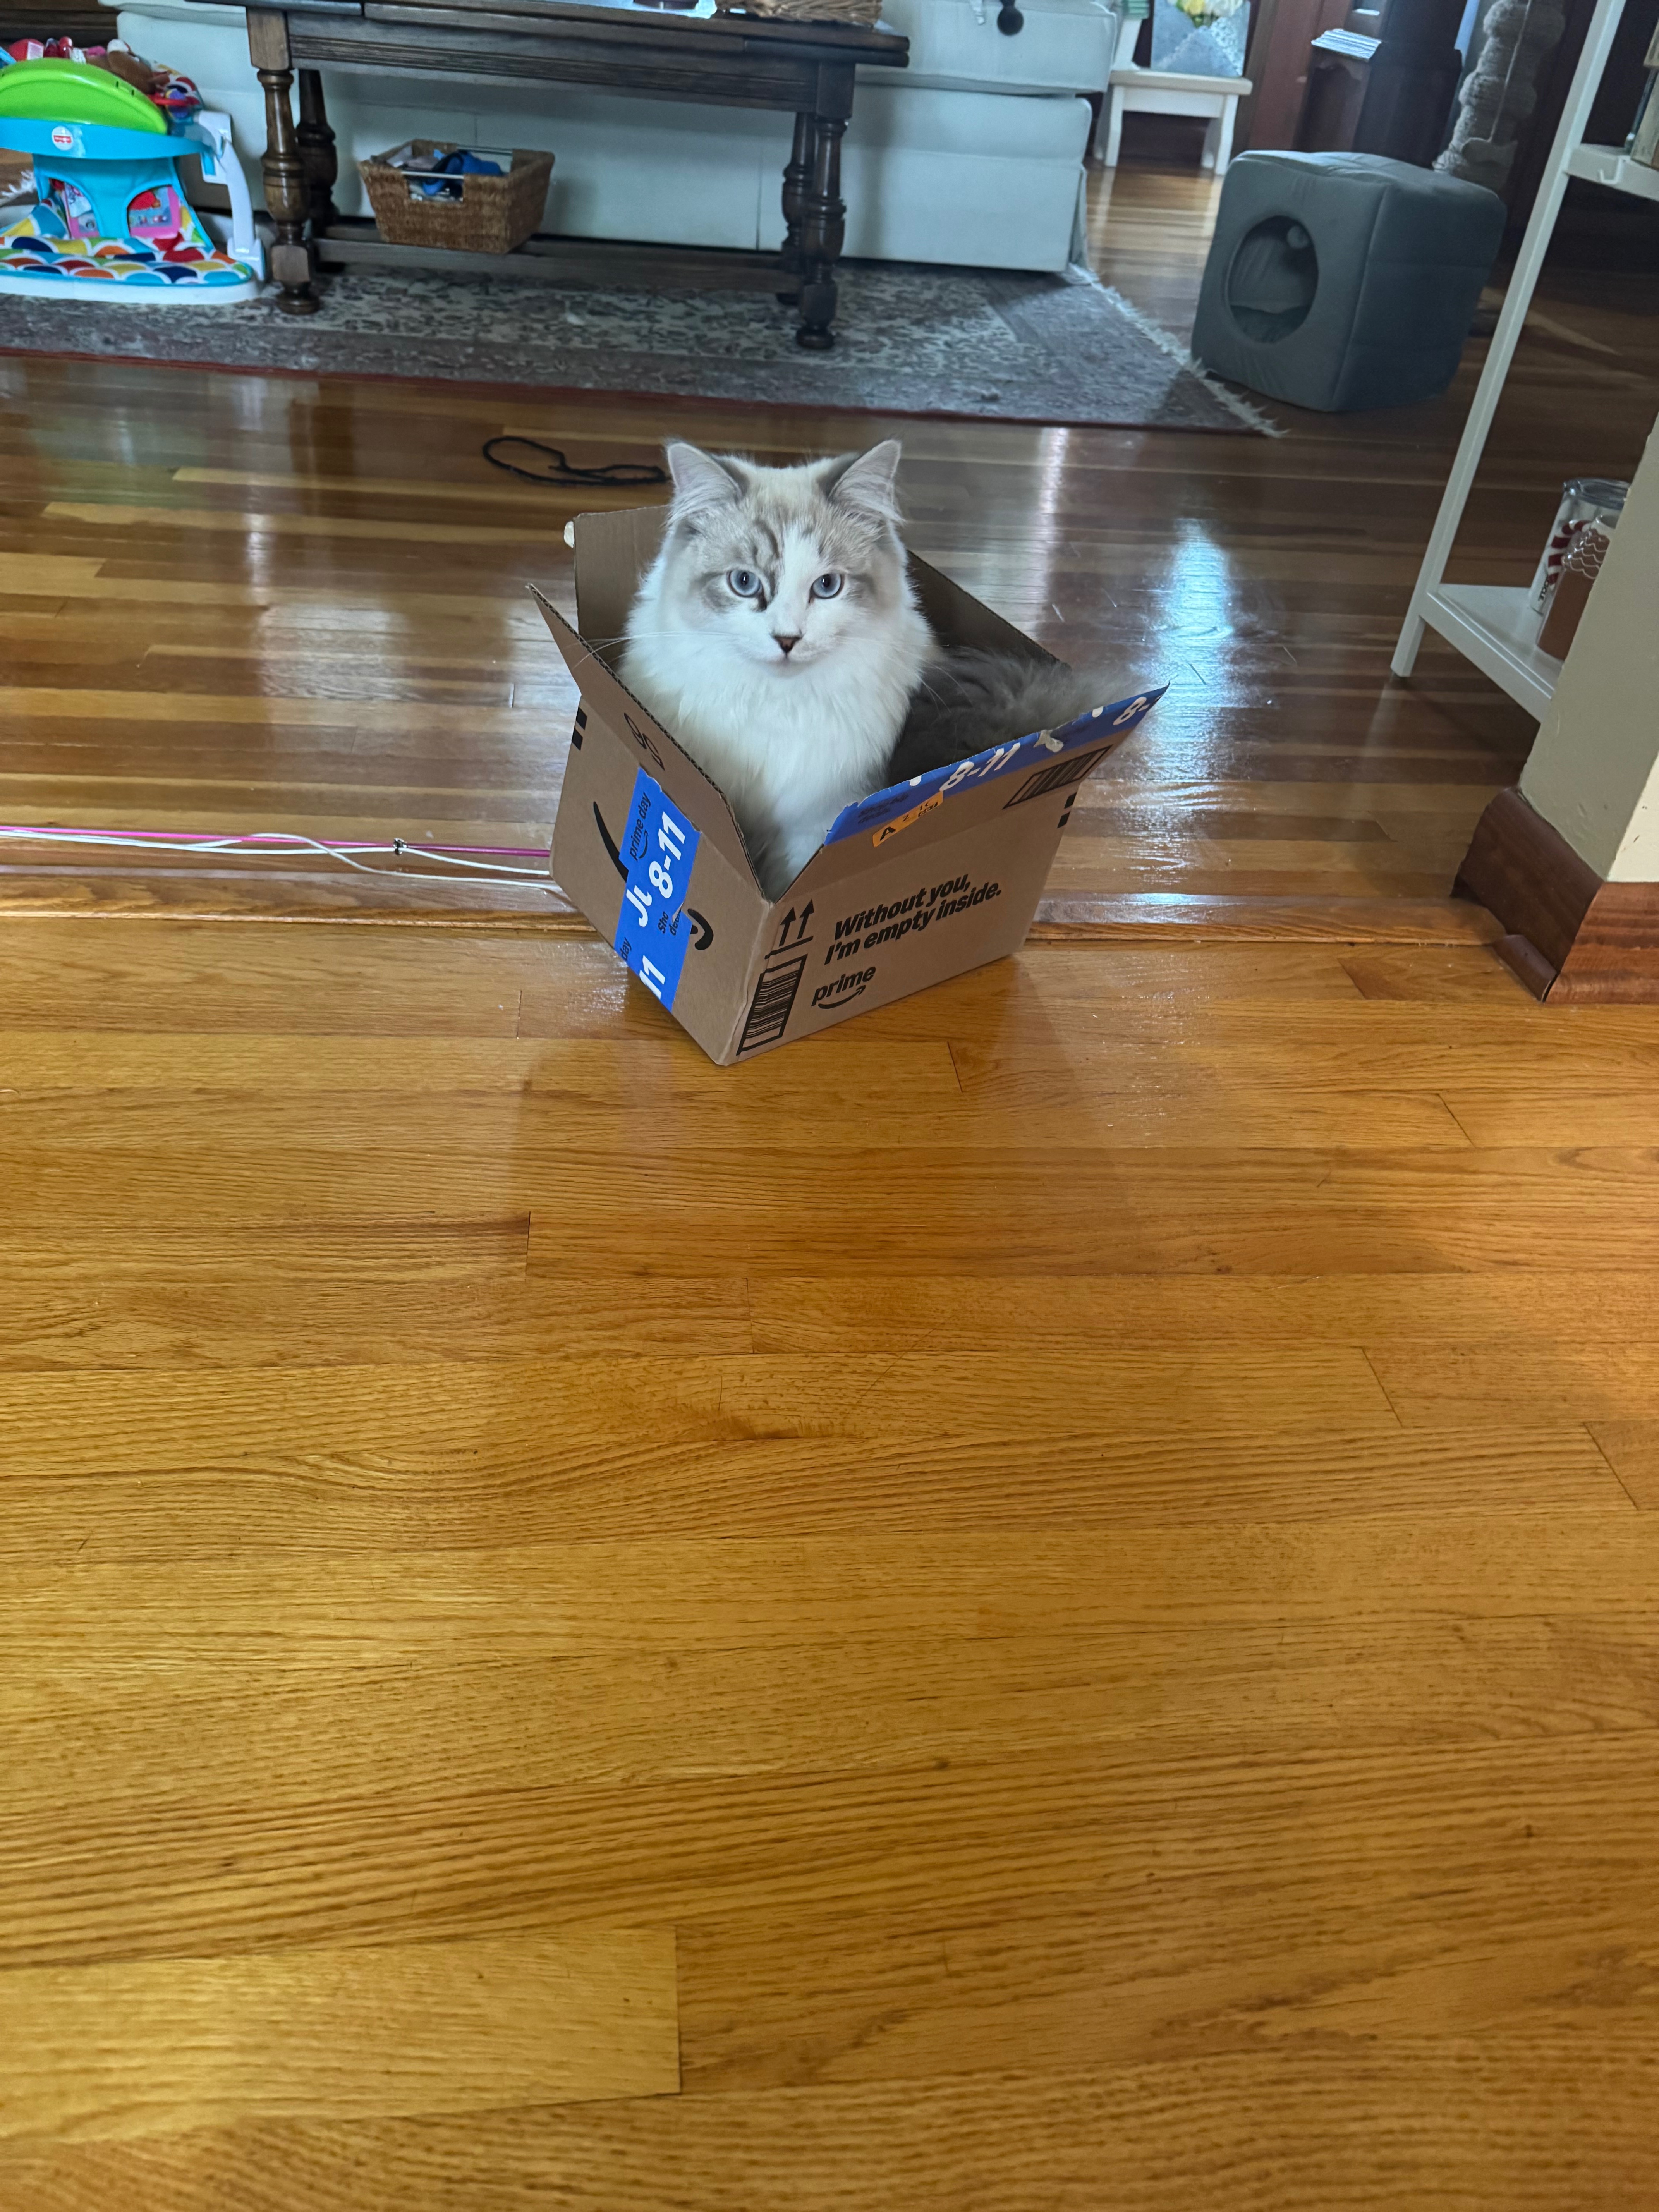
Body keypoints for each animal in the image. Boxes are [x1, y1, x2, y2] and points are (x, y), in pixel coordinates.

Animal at [620, 438, 1121, 897]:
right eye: (744, 582)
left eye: (827, 586)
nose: (787, 640)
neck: (779, 702)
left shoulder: (818, 825)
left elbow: (784, 885)